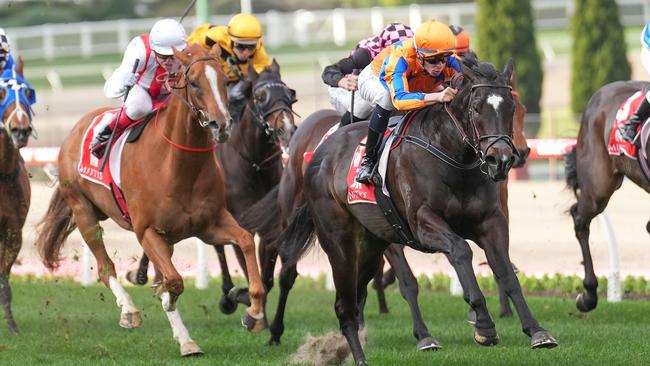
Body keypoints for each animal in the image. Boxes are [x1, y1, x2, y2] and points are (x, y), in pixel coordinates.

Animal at [34, 44, 264, 356]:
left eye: (225, 80)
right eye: (194, 83)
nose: (222, 125)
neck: (178, 166)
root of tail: (75, 129)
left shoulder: (210, 224)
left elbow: (245, 240)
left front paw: (254, 313)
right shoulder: (147, 231)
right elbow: (174, 282)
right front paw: (165, 301)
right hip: (83, 212)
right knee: (106, 268)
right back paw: (130, 311)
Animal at [125, 58, 298, 314]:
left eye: (289, 94)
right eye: (260, 97)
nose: (287, 130)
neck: (254, 164)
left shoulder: (269, 225)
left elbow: (265, 277)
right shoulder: (239, 217)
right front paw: (242, 299)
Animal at [276, 55, 556, 366]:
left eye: (511, 107)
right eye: (476, 107)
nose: (502, 160)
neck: (453, 156)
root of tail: (318, 154)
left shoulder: (490, 222)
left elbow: (505, 271)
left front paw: (536, 330)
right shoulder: (422, 224)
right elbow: (459, 252)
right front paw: (482, 323)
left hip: (370, 247)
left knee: (355, 295)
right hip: (339, 244)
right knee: (342, 302)